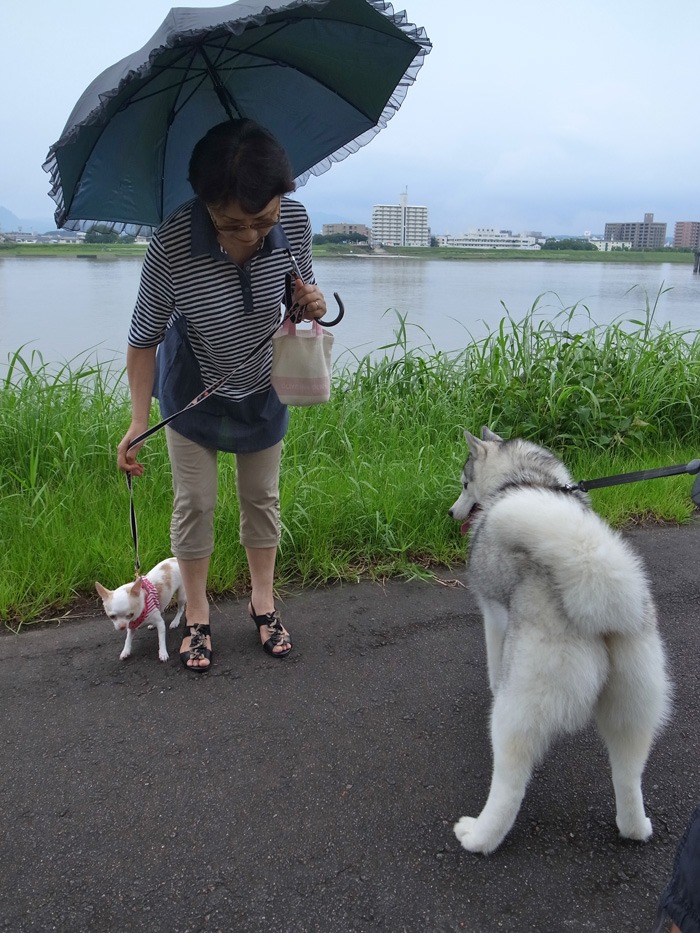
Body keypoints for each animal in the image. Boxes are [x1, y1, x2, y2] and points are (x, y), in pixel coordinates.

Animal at [448, 428, 672, 852]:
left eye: (465, 484)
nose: (451, 513)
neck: (521, 478)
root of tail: (598, 587)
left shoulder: (492, 617)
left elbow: (492, 665)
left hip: (517, 714)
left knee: (510, 785)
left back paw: (478, 836)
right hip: (634, 713)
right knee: (628, 777)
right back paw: (635, 828)